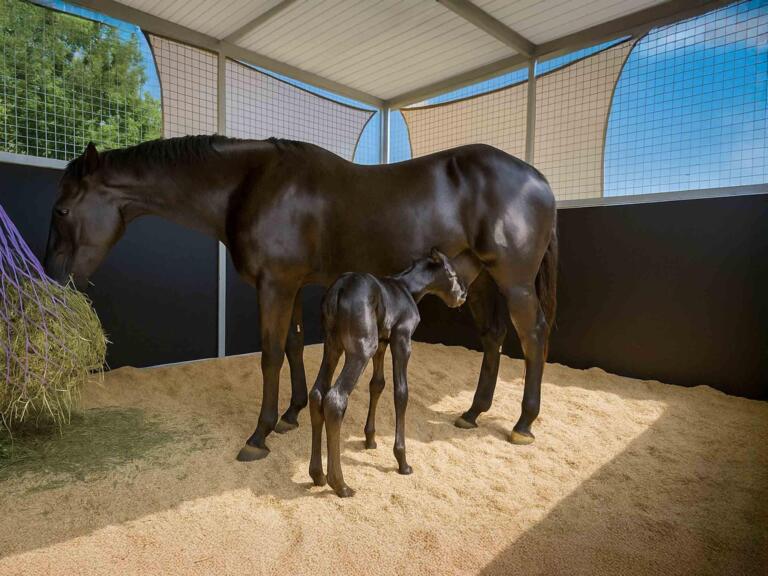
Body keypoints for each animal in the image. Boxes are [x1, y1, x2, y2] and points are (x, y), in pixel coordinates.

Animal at [43, 135, 558, 461]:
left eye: (62, 209)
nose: (51, 275)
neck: (251, 183)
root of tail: (538, 178)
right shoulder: (288, 285)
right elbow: (291, 346)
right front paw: (290, 415)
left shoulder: (276, 285)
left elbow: (270, 354)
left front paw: (260, 433)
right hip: (475, 281)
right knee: (493, 337)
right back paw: (472, 413)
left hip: (512, 282)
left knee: (533, 337)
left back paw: (523, 424)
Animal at [309, 248, 467, 497]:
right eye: (451, 274)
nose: (463, 295)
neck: (408, 289)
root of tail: (339, 288)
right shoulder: (402, 338)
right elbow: (401, 393)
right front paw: (402, 461)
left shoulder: (383, 342)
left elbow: (377, 384)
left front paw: (370, 440)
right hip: (362, 347)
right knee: (335, 398)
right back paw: (340, 484)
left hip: (333, 344)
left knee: (317, 393)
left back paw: (317, 475)